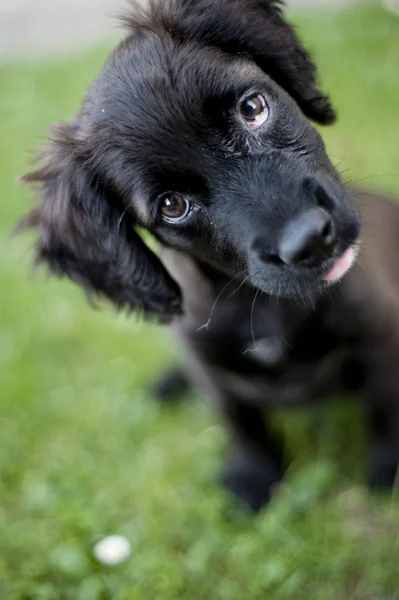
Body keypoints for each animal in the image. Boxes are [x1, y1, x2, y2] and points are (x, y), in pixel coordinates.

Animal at [19, 1, 399, 510]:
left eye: (253, 108)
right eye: (173, 206)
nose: (311, 240)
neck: (262, 303)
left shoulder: (379, 329)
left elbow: (384, 405)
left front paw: (388, 466)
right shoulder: (207, 363)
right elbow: (240, 420)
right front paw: (254, 475)